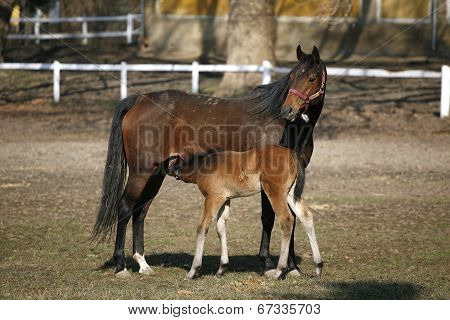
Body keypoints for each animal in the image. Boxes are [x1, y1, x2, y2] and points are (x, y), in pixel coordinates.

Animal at [167, 146, 322, 280]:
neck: (204, 165)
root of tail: (292, 154)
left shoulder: (213, 198)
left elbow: (202, 227)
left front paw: (193, 271)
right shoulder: (225, 200)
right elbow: (221, 227)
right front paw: (222, 268)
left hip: (275, 192)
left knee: (286, 219)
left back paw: (279, 271)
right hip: (289, 194)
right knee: (306, 216)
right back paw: (318, 266)